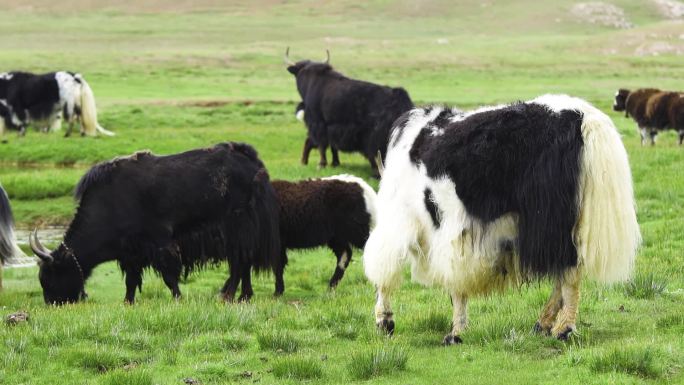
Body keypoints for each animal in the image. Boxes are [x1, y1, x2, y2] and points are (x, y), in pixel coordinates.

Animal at [29, 142, 280, 304]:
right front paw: (127, 302)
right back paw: (243, 296)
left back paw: (227, 295)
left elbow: (169, 275)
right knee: (244, 262)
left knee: (239, 261)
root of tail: (251, 161)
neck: (109, 204)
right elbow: (131, 281)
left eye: (50, 277)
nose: (53, 304)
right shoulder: (130, 253)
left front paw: (178, 299)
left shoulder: (159, 241)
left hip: (236, 226)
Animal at [284, 47, 412, 177]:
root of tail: (398, 98)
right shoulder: (332, 127)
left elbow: (321, 145)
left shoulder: (318, 123)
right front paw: (334, 163)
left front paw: (321, 164)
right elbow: (331, 146)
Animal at [366, 94, 640, 344]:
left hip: (552, 221)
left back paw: (563, 329)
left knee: (569, 270)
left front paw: (392, 321)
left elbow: (390, 271)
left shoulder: (415, 224)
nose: (384, 326)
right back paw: (543, 324)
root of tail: (584, 119)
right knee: (565, 271)